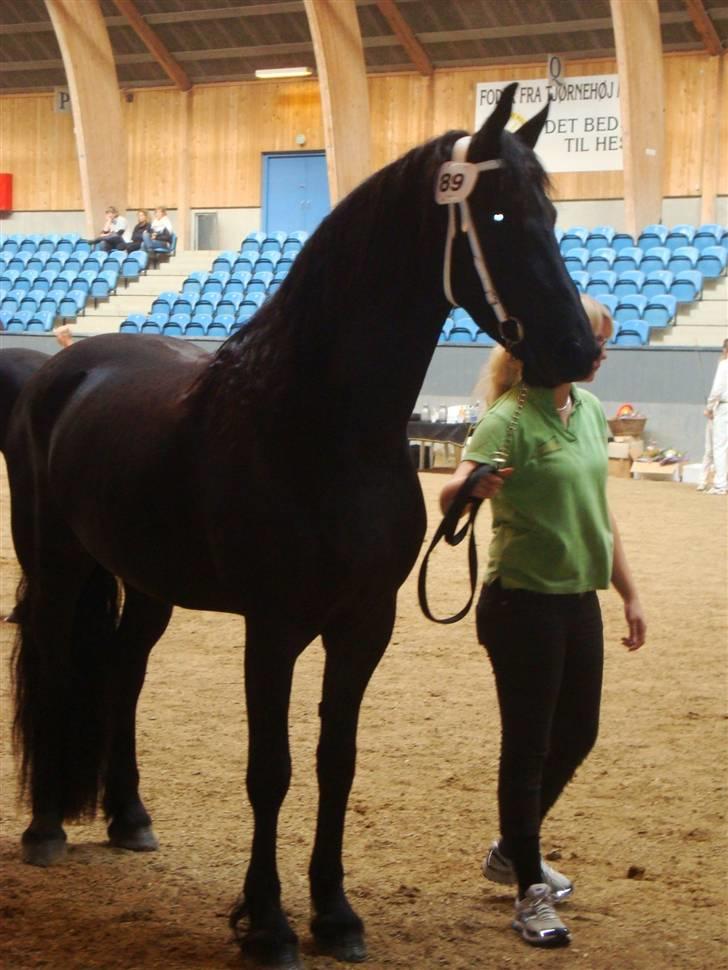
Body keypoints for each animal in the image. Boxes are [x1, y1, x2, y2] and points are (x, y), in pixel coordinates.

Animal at [1, 85, 596, 968]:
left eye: (553, 216)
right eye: (495, 215)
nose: (577, 349)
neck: (320, 426)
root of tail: (57, 370)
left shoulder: (364, 624)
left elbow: (334, 763)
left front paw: (335, 914)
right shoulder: (274, 627)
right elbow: (270, 770)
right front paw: (268, 923)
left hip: (148, 585)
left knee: (122, 674)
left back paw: (130, 817)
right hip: (56, 565)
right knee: (53, 662)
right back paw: (44, 828)